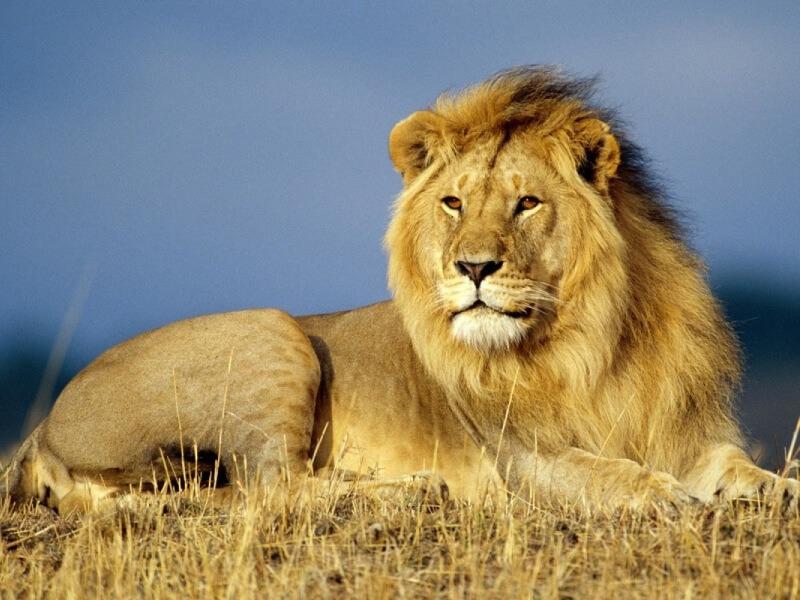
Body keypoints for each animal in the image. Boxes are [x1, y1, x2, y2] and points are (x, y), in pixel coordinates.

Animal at [2, 66, 798, 514]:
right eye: (452, 203)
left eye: (526, 204)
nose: (472, 268)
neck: (590, 340)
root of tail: (41, 427)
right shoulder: (519, 459)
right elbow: (602, 472)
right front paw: (662, 494)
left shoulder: (684, 429)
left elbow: (736, 465)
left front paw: (776, 487)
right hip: (272, 332)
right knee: (270, 488)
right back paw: (414, 489)